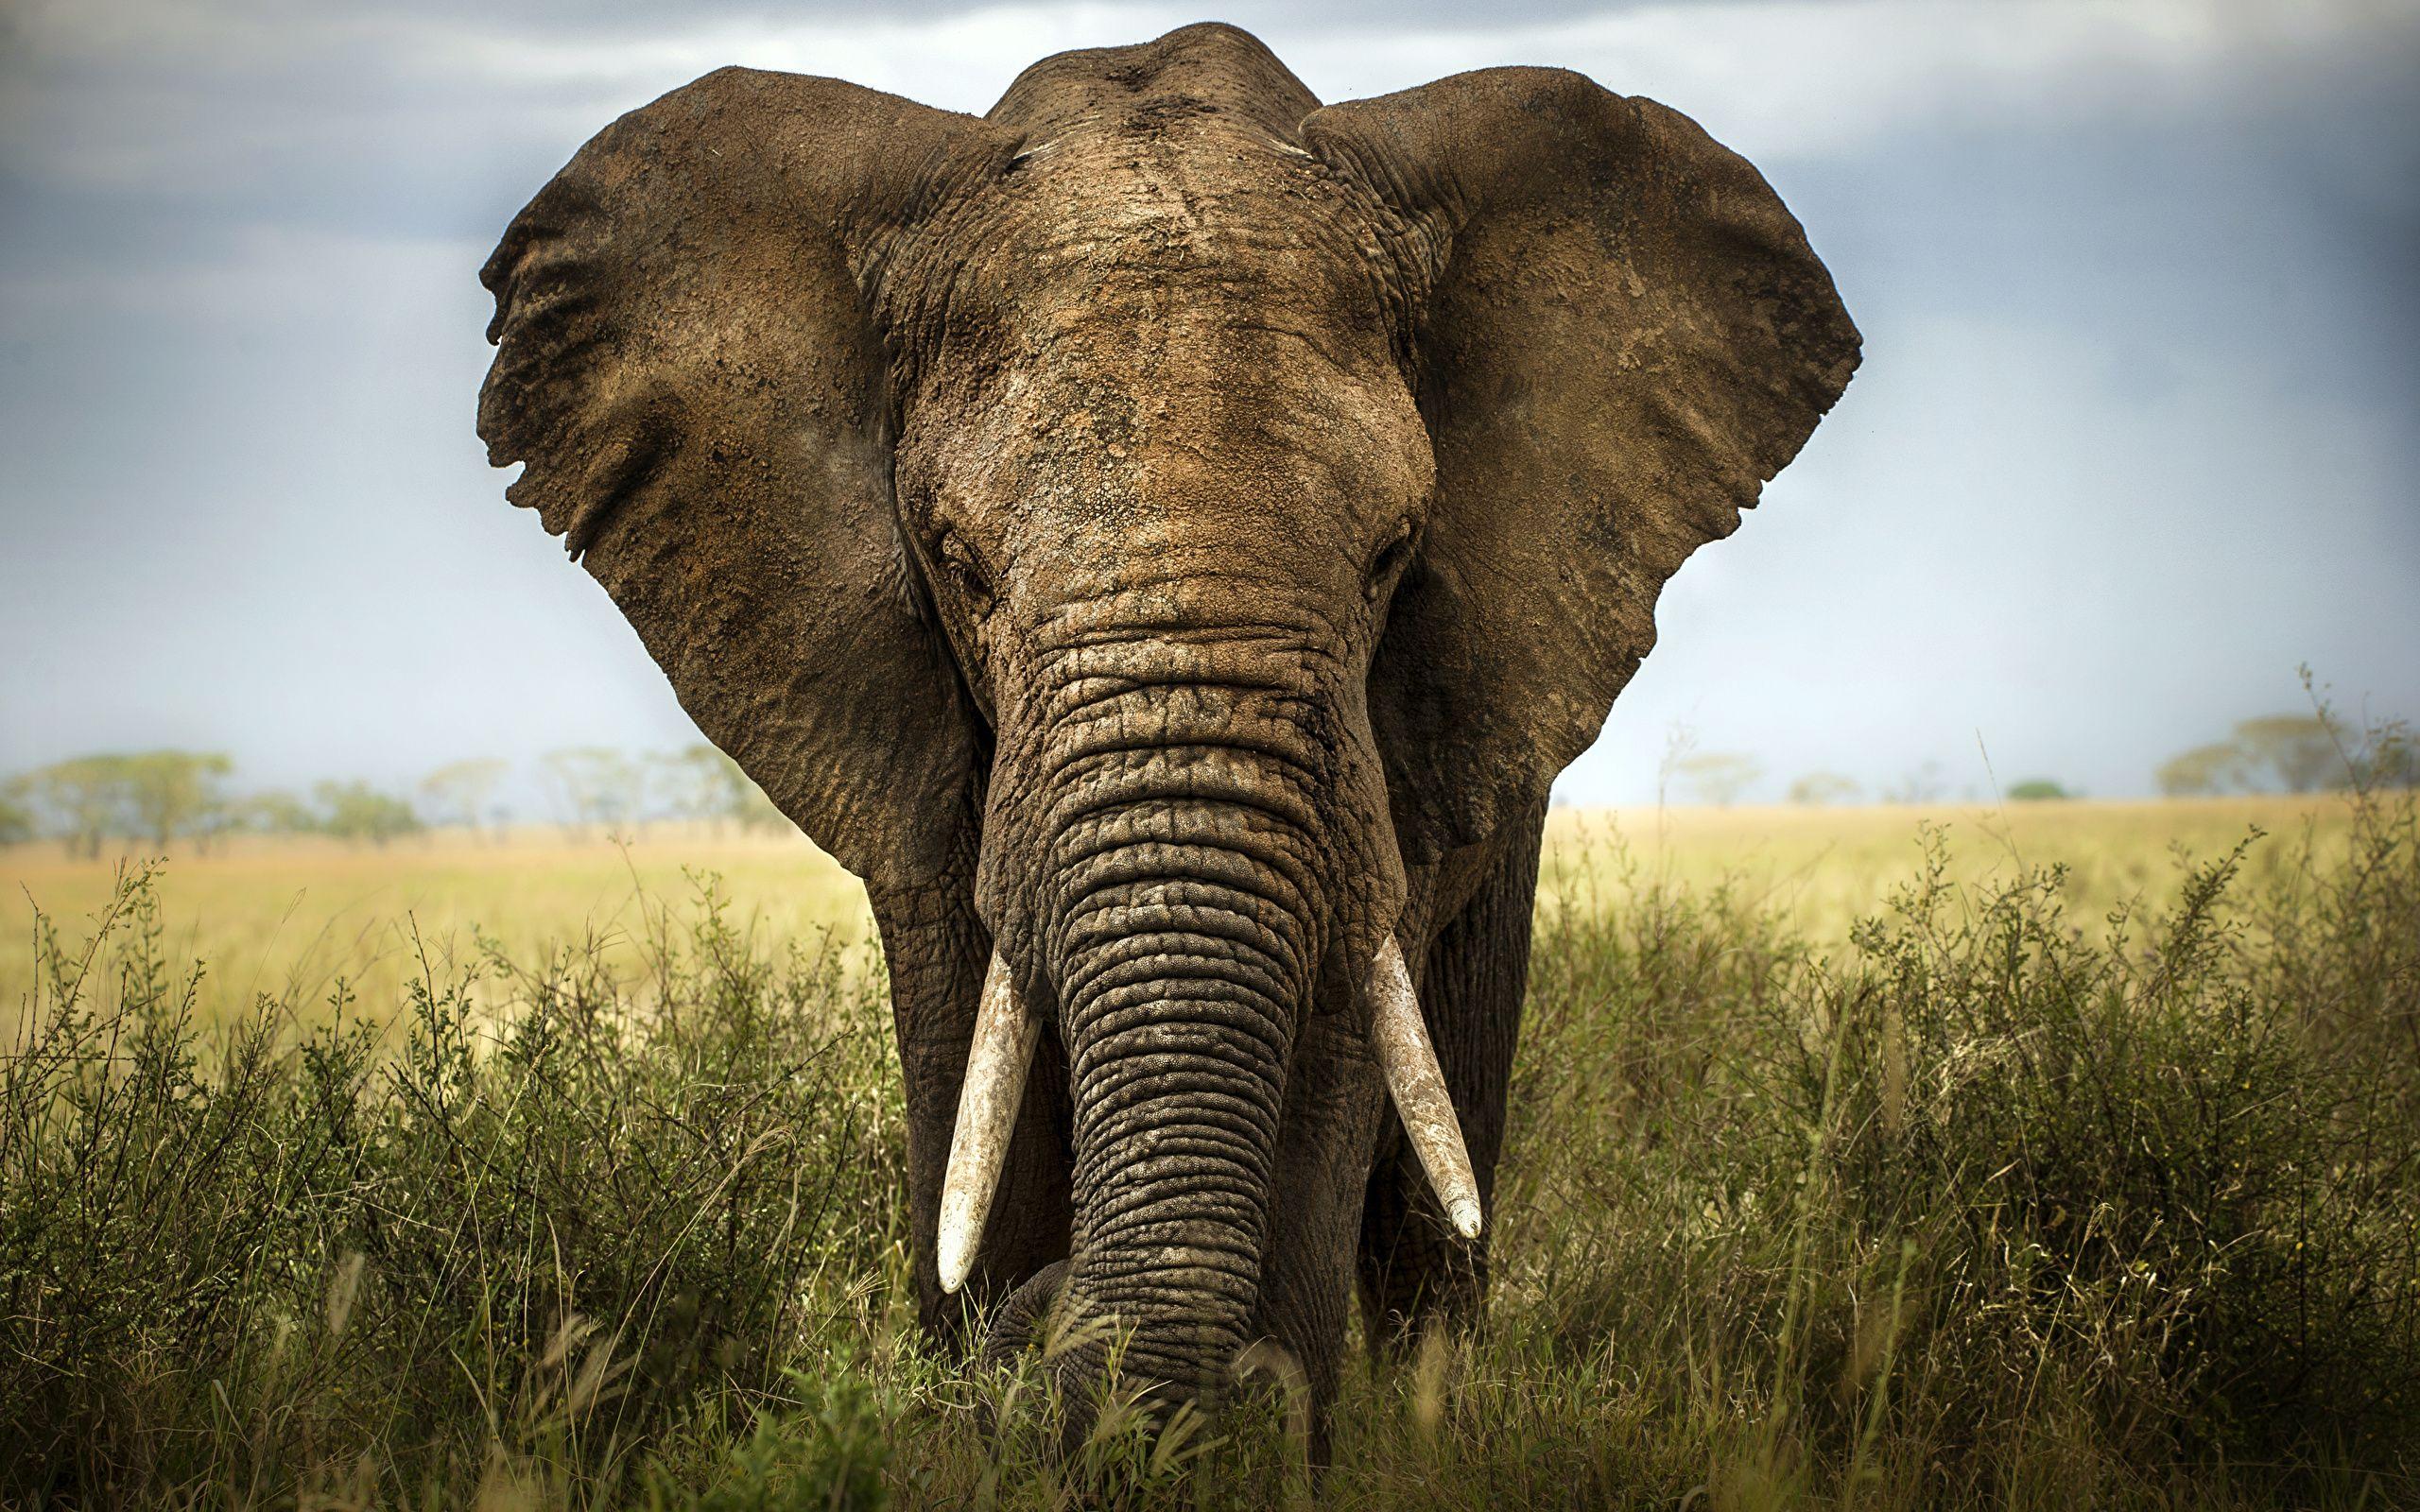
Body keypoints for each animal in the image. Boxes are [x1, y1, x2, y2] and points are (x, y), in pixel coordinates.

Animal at [477, 21, 1856, 1444]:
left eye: (1392, 556)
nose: (1051, 1320)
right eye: (961, 567)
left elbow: (1336, 1043)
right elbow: (971, 1061)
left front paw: (1244, 1426)